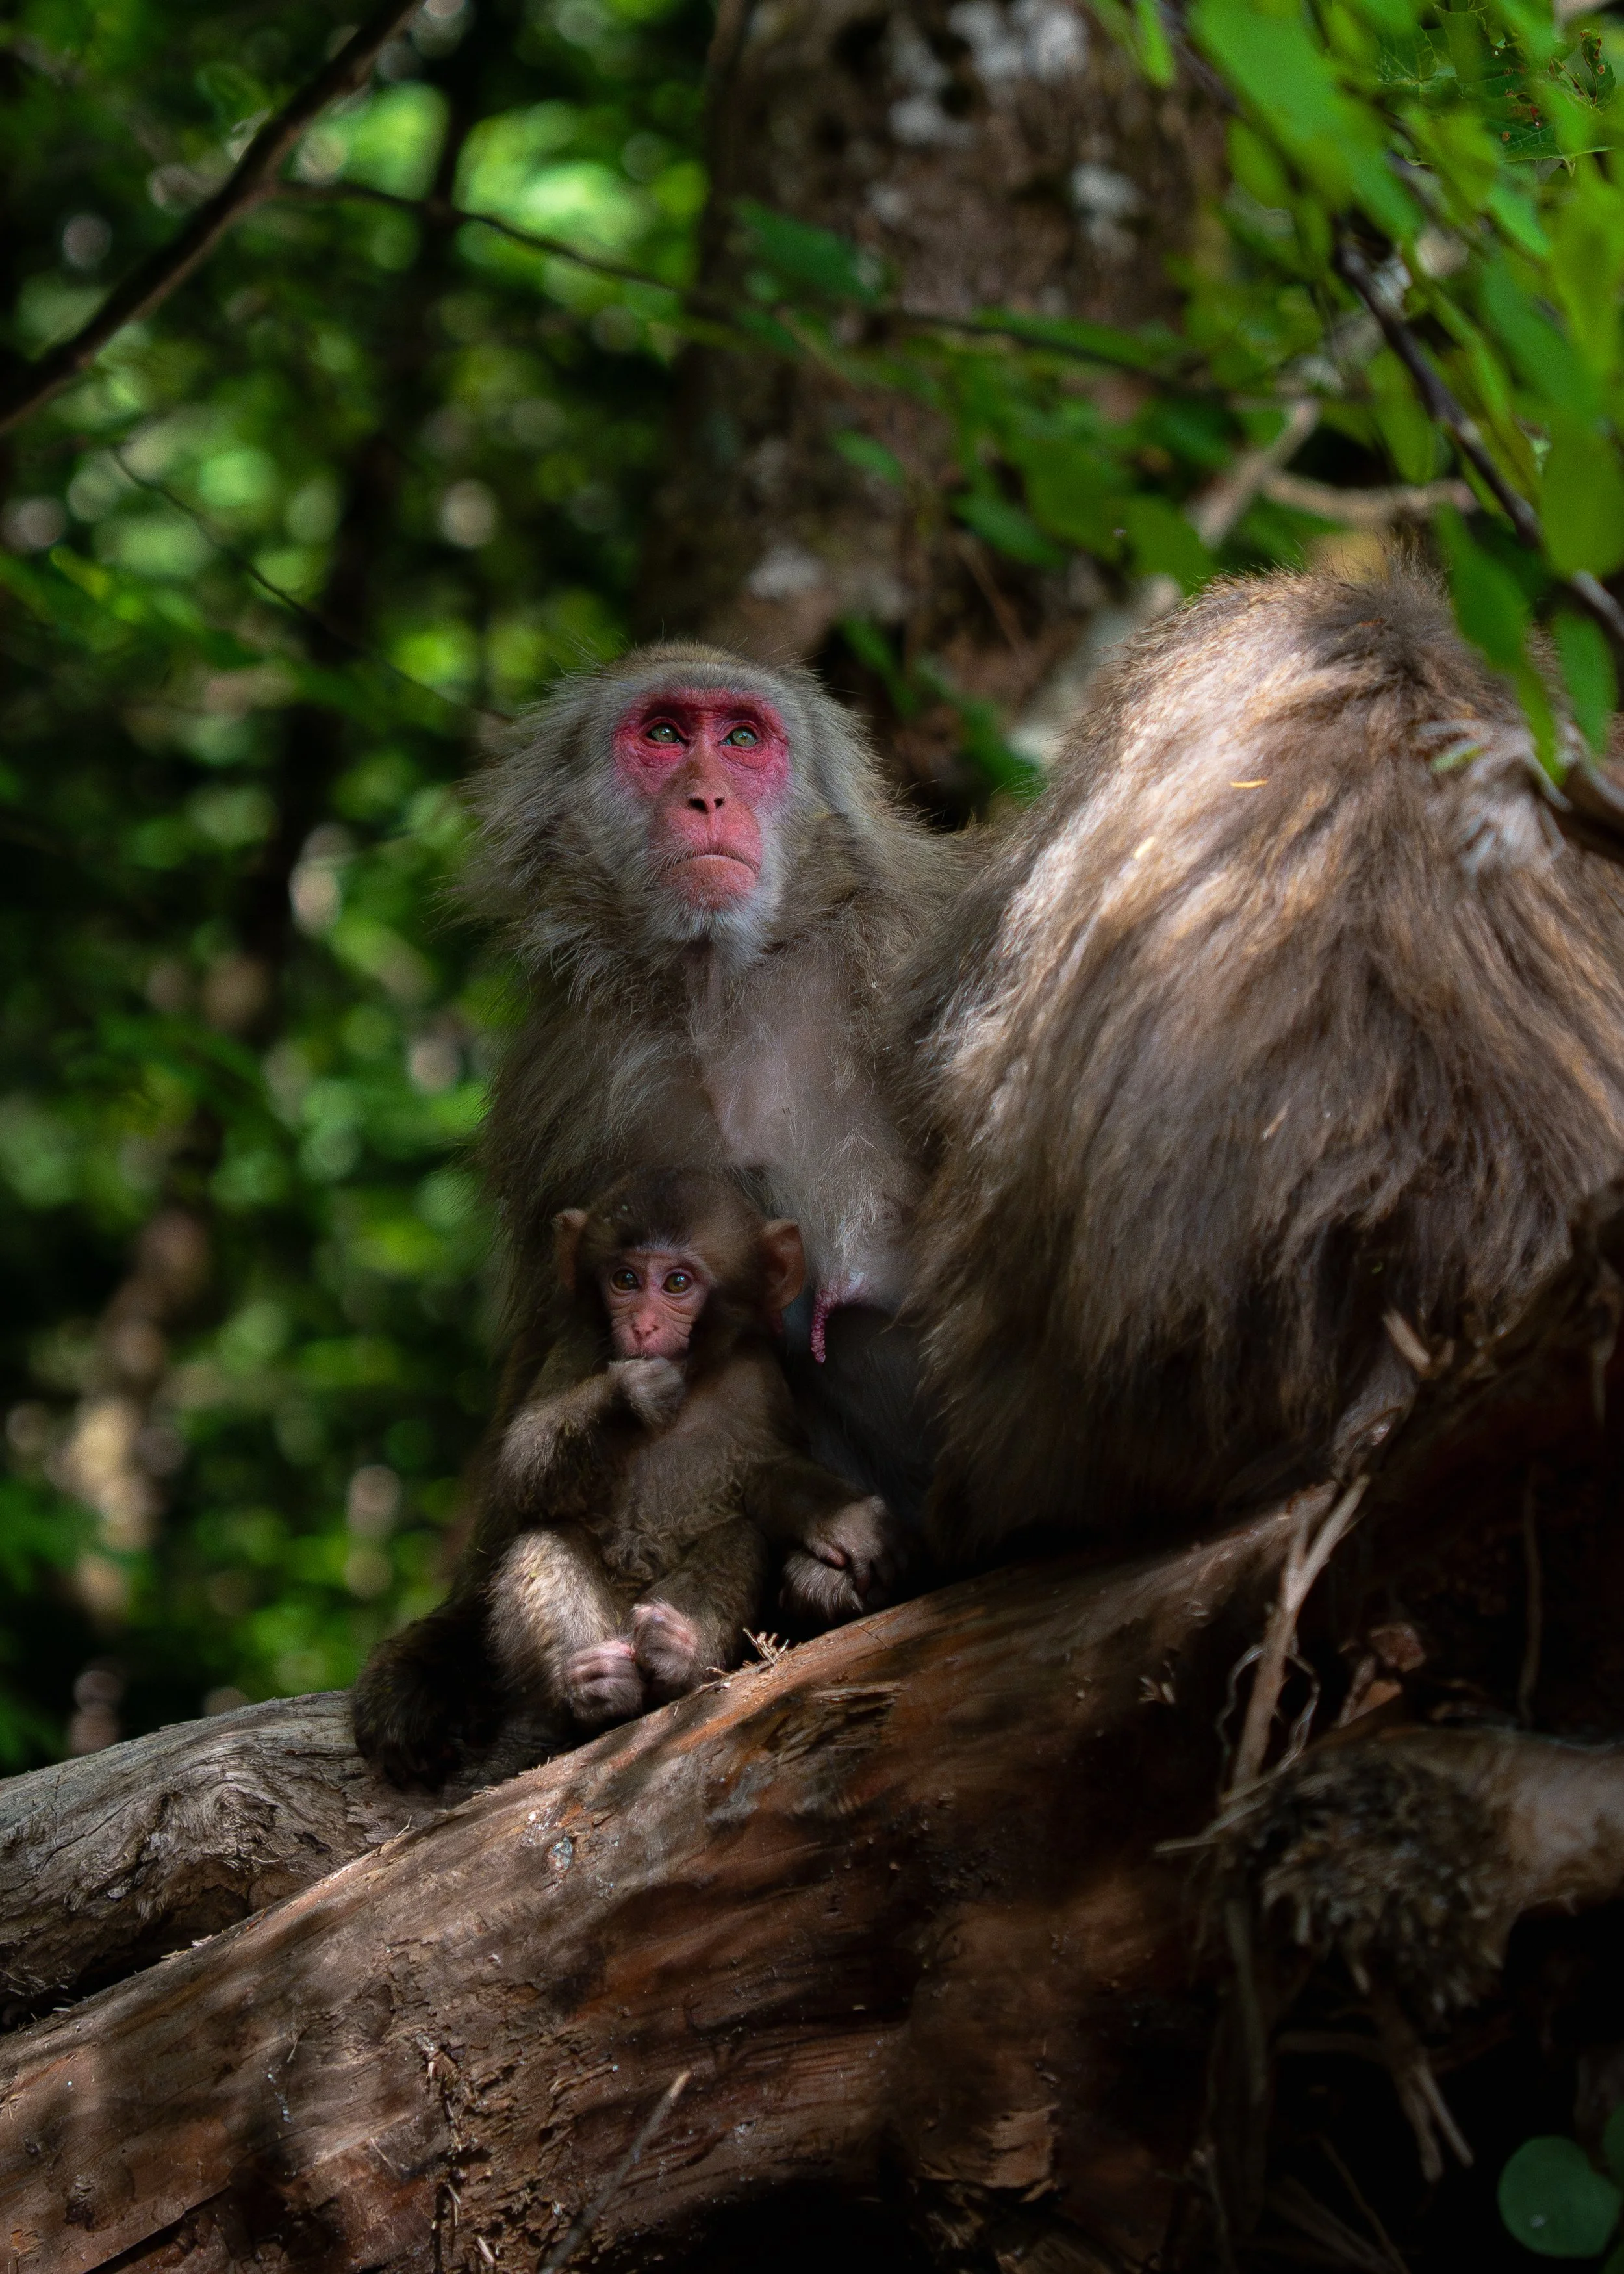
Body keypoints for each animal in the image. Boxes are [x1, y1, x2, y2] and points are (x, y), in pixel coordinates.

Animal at [352, 1168, 897, 1785]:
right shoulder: (576, 1349)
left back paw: (677, 1653)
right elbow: (520, 1463)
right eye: (625, 1280)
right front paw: (628, 1395)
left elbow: (769, 1478)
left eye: (678, 1282)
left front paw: (849, 1522)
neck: (692, 1380)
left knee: (736, 1539)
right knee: (546, 1541)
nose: (642, 1324)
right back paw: (593, 1690)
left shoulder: (759, 1381)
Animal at [467, 643, 964, 1558]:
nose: (707, 796)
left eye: (740, 737)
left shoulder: (914, 949)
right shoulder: (567, 1078)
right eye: (664, 734)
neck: (724, 988)